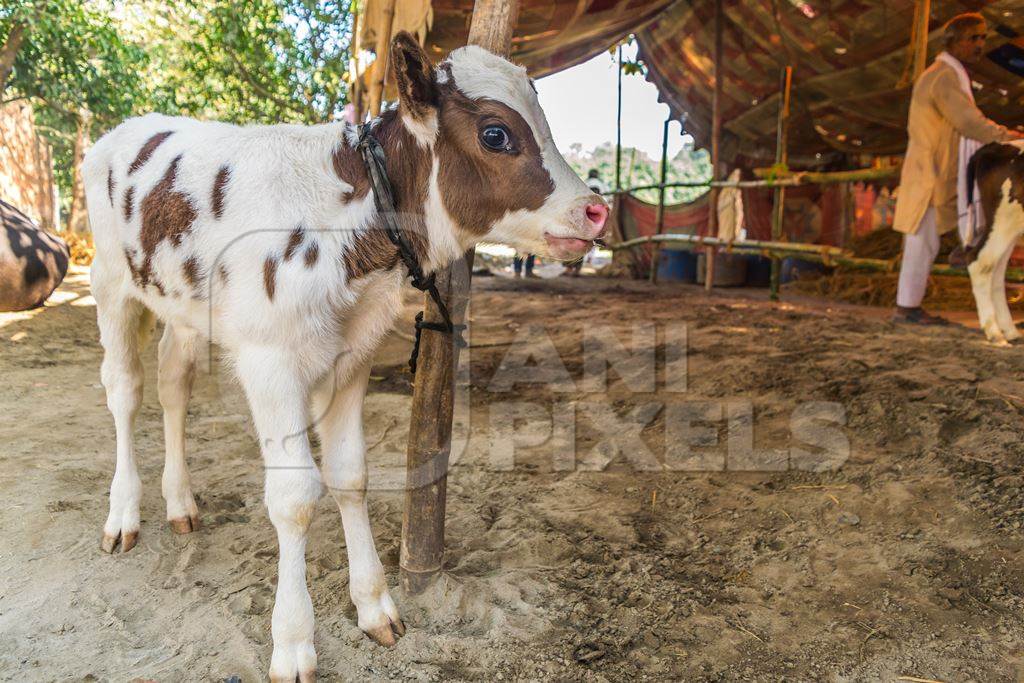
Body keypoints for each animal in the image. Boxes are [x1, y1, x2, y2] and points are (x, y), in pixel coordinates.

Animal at [83, 33, 602, 683]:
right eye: (495, 134)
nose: (596, 210)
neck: (343, 226)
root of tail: (130, 126)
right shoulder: (270, 361)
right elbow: (294, 499)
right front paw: (293, 642)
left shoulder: (353, 357)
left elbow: (350, 476)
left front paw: (375, 603)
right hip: (109, 282)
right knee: (124, 391)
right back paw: (123, 514)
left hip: (181, 307)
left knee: (173, 385)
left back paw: (180, 502)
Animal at [950, 143, 1024, 348]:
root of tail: (997, 146)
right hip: (1004, 220)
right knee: (980, 263)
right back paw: (995, 333)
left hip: (1008, 228)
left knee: (997, 271)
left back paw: (1009, 331)